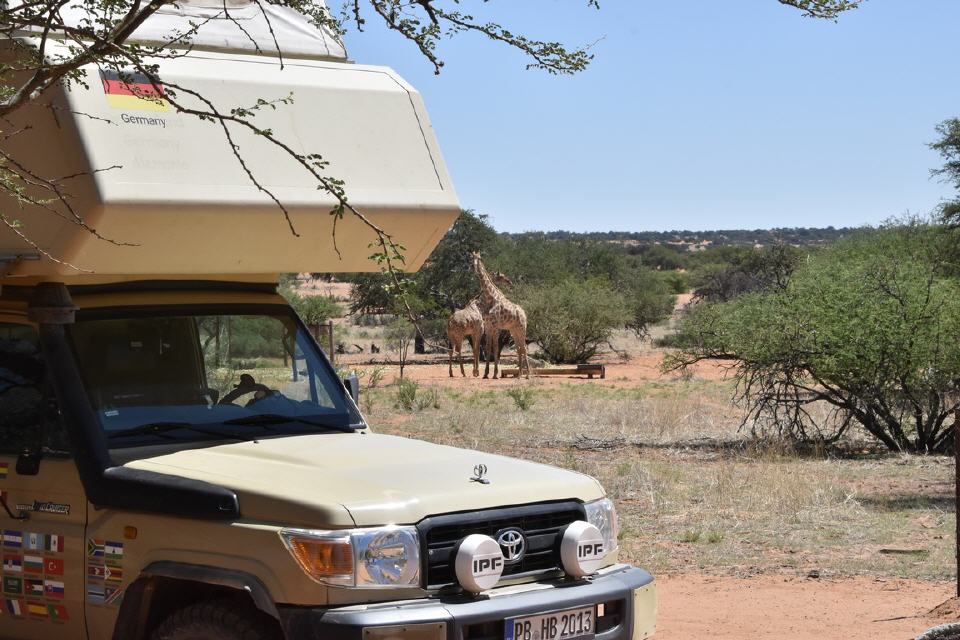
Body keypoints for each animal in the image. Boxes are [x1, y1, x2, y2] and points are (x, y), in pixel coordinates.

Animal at [472, 251, 532, 380]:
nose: (474, 267)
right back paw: (519, 374)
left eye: (480, 258)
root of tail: (524, 313)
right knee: (519, 349)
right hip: (514, 330)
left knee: (524, 348)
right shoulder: (488, 326)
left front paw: (494, 374)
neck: (490, 297)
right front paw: (486, 374)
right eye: (471, 258)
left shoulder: (496, 326)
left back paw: (527, 375)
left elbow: (495, 347)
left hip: (522, 328)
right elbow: (488, 347)